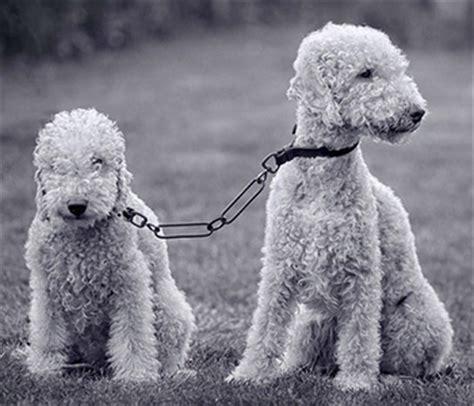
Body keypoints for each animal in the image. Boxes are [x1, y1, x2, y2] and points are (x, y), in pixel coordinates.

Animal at [23, 108, 194, 380]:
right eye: (56, 165)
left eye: (98, 161)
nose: (77, 205)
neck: (81, 235)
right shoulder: (47, 288)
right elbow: (47, 332)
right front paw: (43, 370)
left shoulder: (130, 285)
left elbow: (133, 335)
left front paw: (136, 376)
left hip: (170, 312)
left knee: (167, 353)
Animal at [228, 23, 454, 390]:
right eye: (365, 73)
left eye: (397, 69)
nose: (417, 112)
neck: (322, 165)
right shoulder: (279, 265)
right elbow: (266, 324)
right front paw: (250, 374)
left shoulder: (359, 272)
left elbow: (360, 336)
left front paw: (357, 382)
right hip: (312, 323)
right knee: (312, 358)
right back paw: (293, 370)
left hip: (414, 317)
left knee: (412, 367)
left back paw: (387, 378)